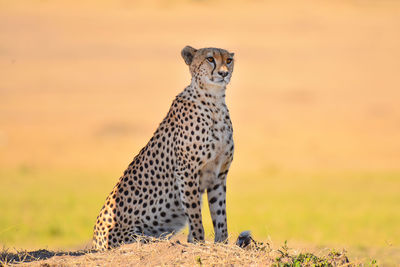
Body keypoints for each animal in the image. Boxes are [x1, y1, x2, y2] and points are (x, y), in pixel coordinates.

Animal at [93, 46, 234, 251]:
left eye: (229, 60)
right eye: (210, 59)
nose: (224, 73)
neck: (214, 102)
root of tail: (95, 241)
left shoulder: (219, 174)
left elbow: (220, 215)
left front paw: (223, 243)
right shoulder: (186, 172)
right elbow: (195, 215)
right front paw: (198, 243)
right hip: (137, 237)